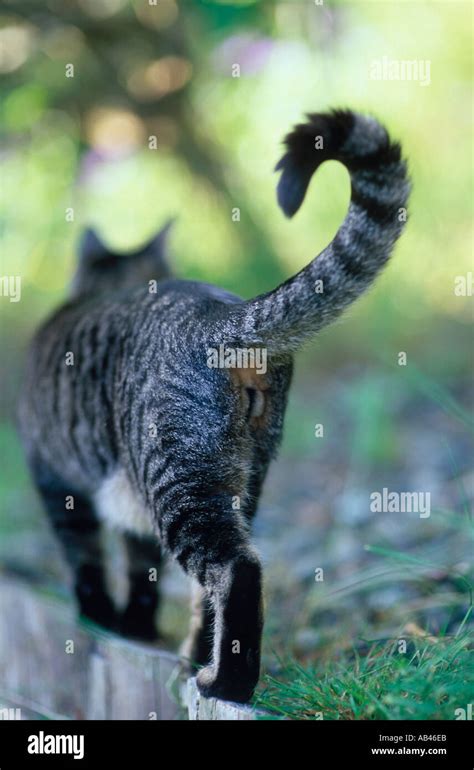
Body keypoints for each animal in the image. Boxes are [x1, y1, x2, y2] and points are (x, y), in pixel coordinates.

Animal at [18, 109, 410, 704]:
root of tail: (223, 315)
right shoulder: (127, 509)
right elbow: (141, 570)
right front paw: (134, 626)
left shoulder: (55, 480)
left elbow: (85, 559)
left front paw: (97, 621)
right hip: (242, 478)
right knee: (212, 582)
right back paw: (195, 661)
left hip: (178, 478)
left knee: (236, 570)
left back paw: (225, 680)